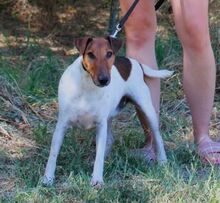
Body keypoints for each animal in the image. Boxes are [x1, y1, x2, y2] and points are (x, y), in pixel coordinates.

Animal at [42, 36, 174, 187]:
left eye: (109, 54)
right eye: (91, 54)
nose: (104, 80)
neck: (87, 86)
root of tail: (134, 62)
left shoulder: (101, 125)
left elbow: (99, 156)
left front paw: (97, 179)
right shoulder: (62, 125)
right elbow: (53, 154)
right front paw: (48, 178)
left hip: (147, 110)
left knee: (157, 137)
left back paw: (163, 162)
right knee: (110, 140)